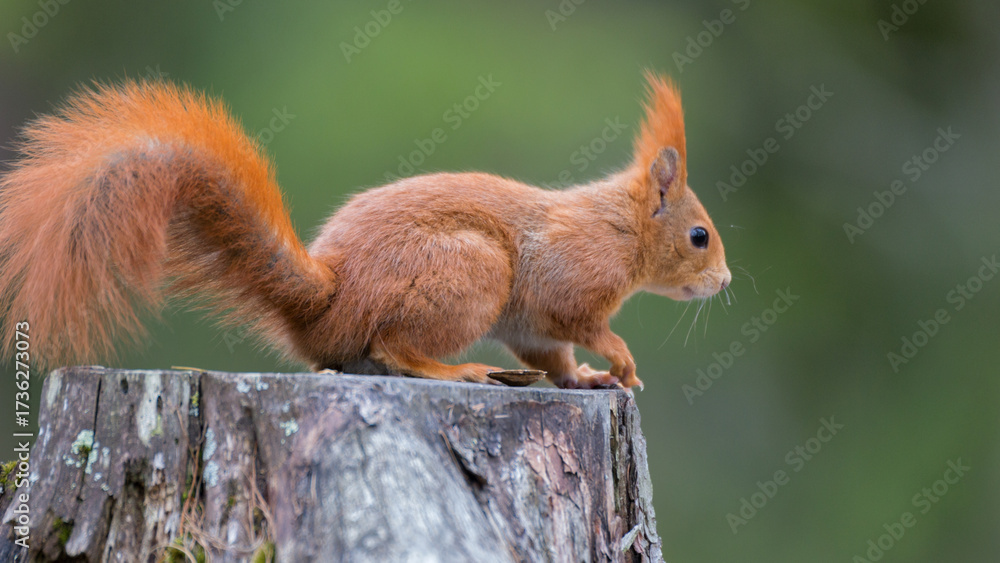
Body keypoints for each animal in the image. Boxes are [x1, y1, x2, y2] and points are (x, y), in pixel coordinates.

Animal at [0, 71, 730, 390]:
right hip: (468, 271)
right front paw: (621, 358)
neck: (620, 226)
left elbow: (553, 357)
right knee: (394, 348)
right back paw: (459, 370)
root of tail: (328, 300)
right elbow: (580, 319)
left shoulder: (531, 328)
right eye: (699, 236)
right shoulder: (571, 278)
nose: (724, 282)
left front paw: (592, 380)